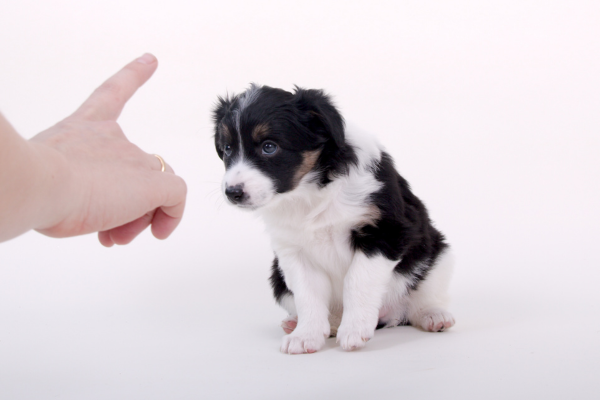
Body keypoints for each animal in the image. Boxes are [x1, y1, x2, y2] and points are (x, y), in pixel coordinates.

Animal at [213, 84, 452, 354]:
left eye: (269, 147)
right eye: (227, 149)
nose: (232, 193)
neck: (310, 191)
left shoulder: (385, 233)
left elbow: (357, 281)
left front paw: (355, 330)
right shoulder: (293, 251)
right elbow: (308, 295)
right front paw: (306, 335)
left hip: (437, 253)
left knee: (420, 299)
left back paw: (433, 315)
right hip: (278, 278)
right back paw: (307, 324)